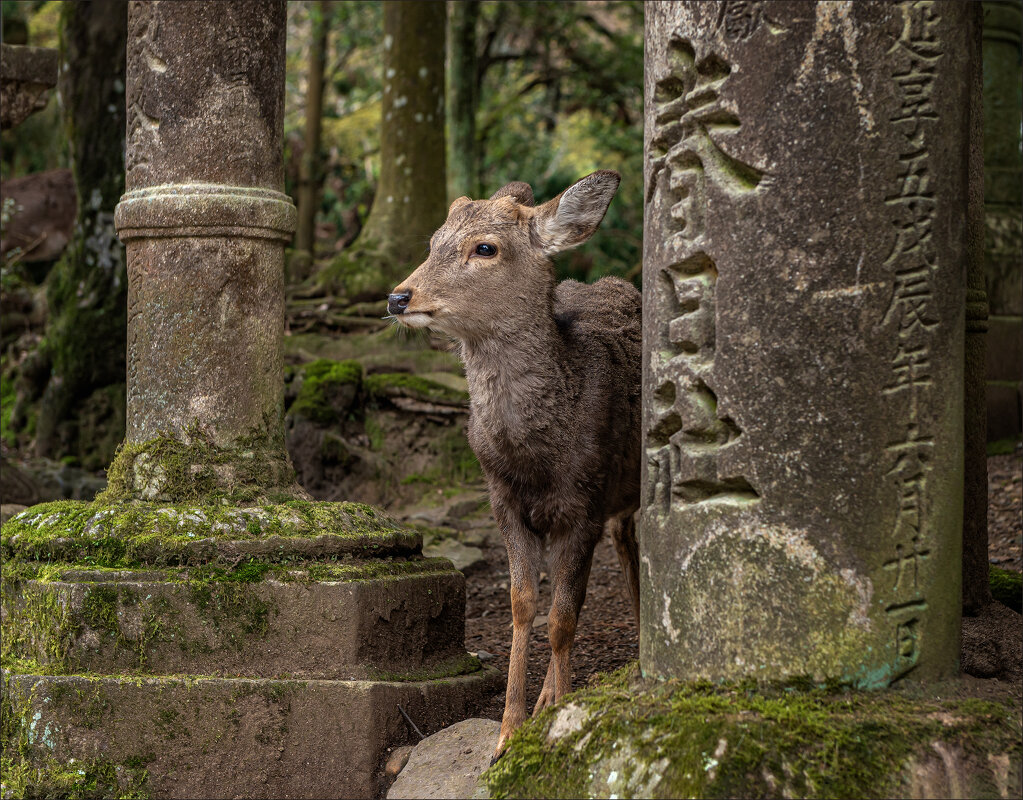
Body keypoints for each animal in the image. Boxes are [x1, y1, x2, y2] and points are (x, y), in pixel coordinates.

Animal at [384, 171, 638, 761]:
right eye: (433, 241)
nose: (399, 296)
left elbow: (563, 617)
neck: (535, 457)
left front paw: (559, 727)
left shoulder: (585, 501)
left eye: (485, 248)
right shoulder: (501, 499)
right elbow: (524, 604)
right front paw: (509, 730)